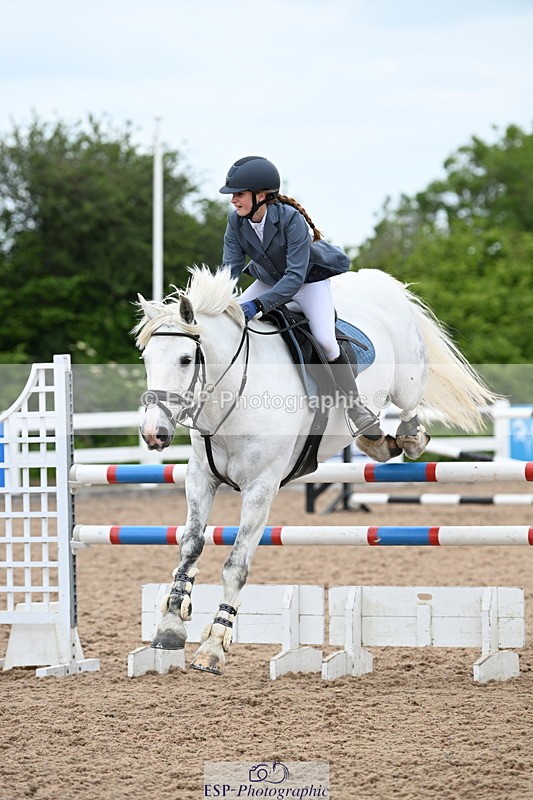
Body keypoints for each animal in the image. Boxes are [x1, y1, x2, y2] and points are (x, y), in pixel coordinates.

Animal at [135, 266, 496, 675]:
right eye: (146, 357)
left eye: (185, 359)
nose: (153, 433)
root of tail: (379, 279)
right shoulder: (201, 478)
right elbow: (191, 545)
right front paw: (170, 625)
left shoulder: (262, 486)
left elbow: (236, 564)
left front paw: (213, 645)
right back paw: (375, 440)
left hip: (408, 380)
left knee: (409, 407)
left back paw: (402, 437)